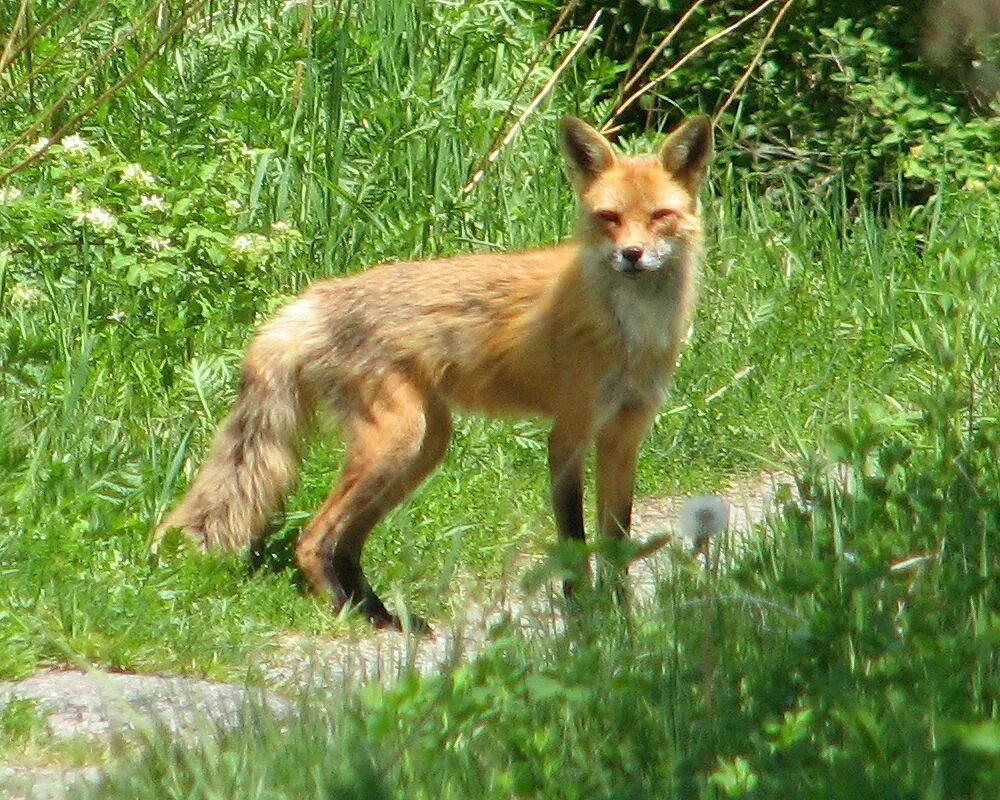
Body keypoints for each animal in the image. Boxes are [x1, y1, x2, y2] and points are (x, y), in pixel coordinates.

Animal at [158, 117, 712, 632]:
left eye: (660, 216)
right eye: (609, 218)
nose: (631, 255)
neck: (632, 331)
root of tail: (311, 298)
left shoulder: (624, 436)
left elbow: (617, 541)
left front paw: (622, 619)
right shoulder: (569, 433)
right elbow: (574, 539)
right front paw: (584, 617)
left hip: (423, 448)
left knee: (346, 544)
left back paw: (382, 616)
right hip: (397, 441)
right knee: (313, 539)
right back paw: (347, 615)